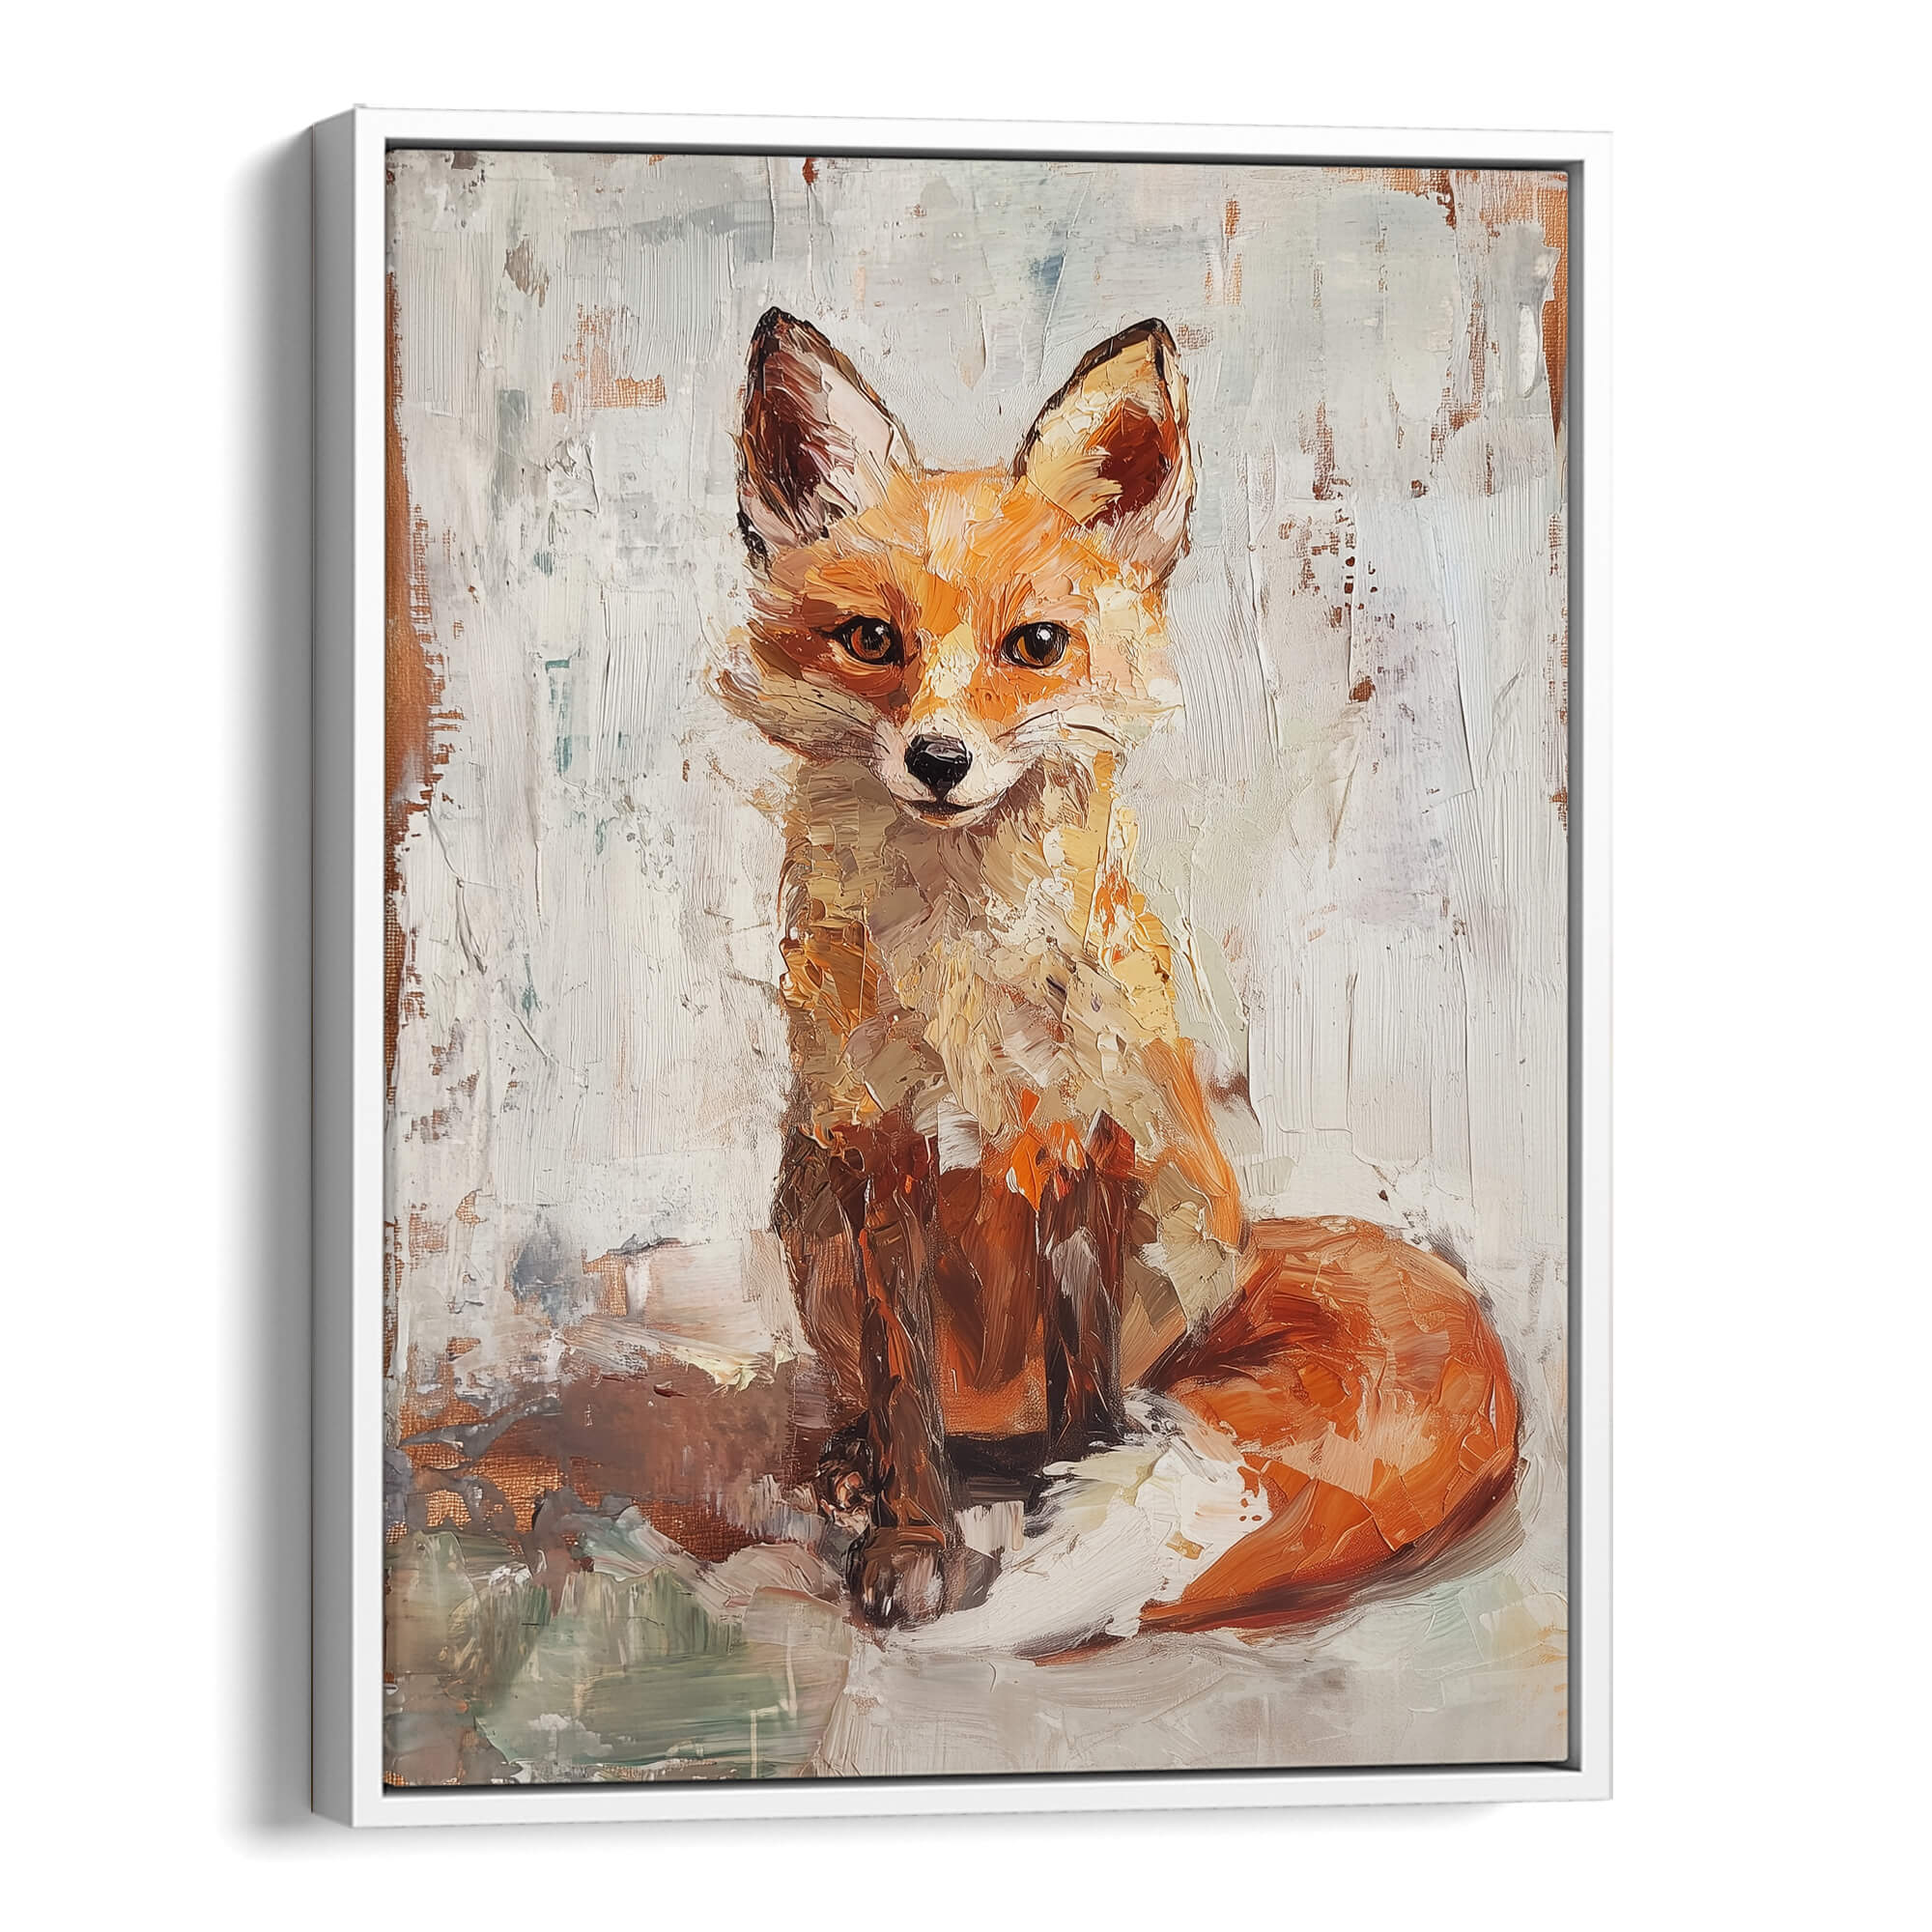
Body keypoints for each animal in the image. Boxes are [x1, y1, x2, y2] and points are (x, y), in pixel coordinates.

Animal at [716, 308, 1520, 1633]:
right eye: (871, 639)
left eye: (1034, 645)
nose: (937, 759)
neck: (968, 967)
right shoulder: (878, 1153)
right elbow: (903, 1388)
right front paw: (910, 1536)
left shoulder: (1089, 1138)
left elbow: (1081, 1373)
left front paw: (1070, 1490)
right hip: (807, 1207)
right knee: (893, 1404)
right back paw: (858, 1465)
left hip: (1165, 1210)